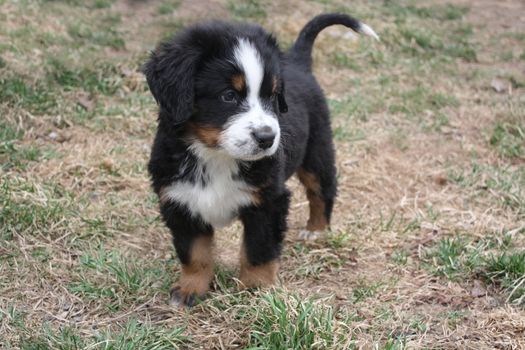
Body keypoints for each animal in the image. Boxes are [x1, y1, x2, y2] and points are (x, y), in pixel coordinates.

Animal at [143, 13, 376, 306]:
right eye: (228, 95)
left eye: (273, 96)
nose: (267, 138)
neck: (216, 156)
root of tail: (297, 61)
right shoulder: (180, 200)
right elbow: (194, 253)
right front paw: (190, 289)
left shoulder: (269, 201)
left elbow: (259, 250)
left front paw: (255, 289)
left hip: (317, 148)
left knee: (322, 190)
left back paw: (317, 230)